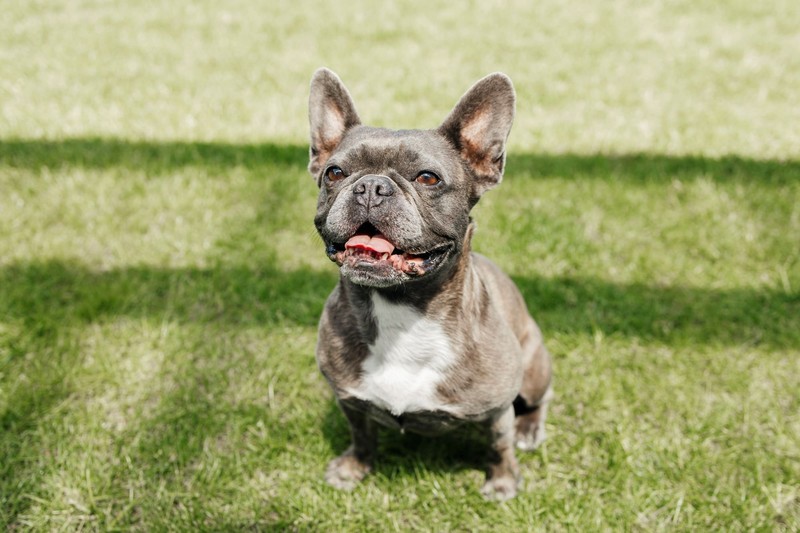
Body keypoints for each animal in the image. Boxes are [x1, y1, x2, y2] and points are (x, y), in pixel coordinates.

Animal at [310, 67, 552, 498]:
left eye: (427, 178)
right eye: (334, 173)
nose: (371, 186)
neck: (400, 308)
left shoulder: (497, 411)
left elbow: (499, 443)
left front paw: (503, 481)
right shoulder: (349, 400)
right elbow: (361, 434)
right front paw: (354, 467)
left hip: (534, 365)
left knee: (539, 399)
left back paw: (530, 428)